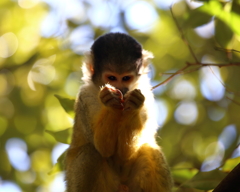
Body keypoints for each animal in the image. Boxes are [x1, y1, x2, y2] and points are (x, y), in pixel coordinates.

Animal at [64, 33, 172, 192]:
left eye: (126, 78)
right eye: (112, 78)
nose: (121, 90)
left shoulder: (145, 93)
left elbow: (126, 151)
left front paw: (133, 105)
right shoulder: (85, 96)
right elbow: (102, 147)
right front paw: (110, 102)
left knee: (150, 150)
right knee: (91, 152)